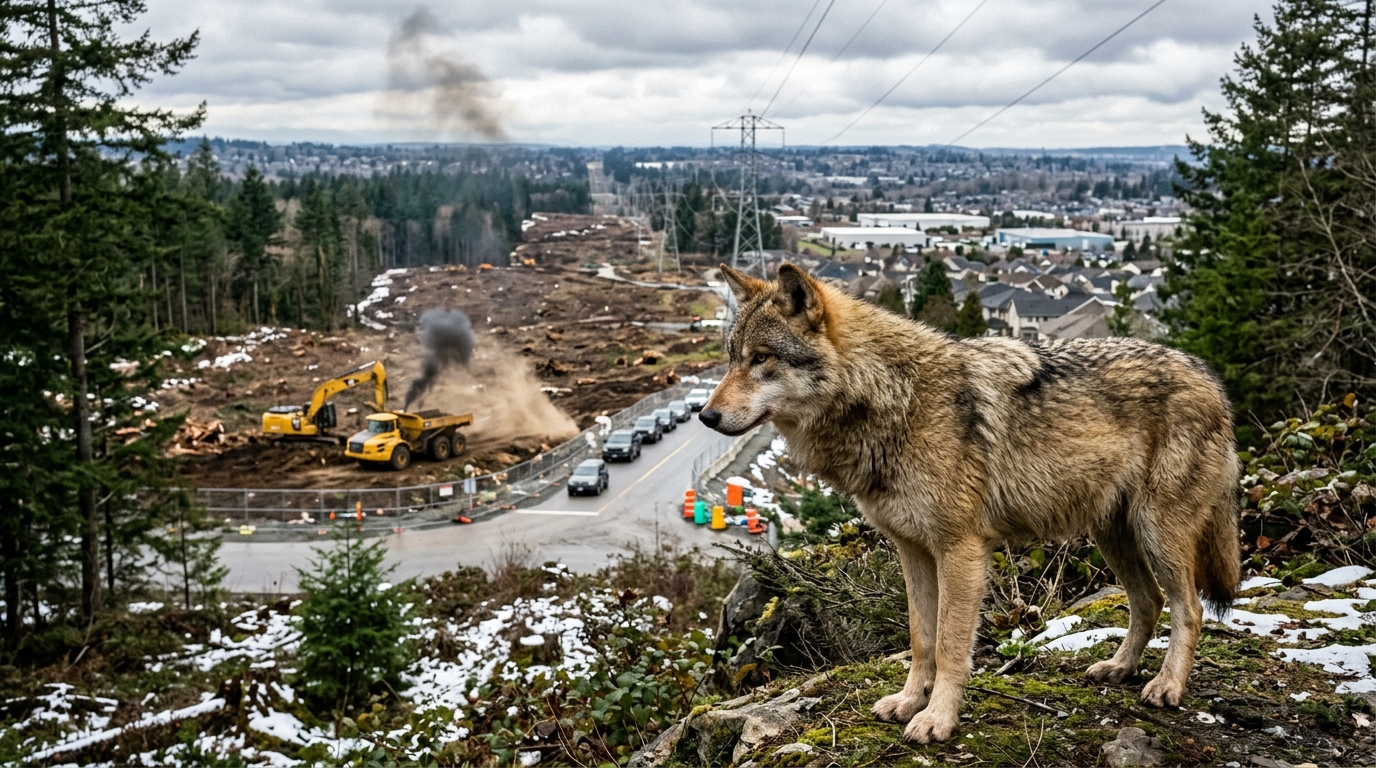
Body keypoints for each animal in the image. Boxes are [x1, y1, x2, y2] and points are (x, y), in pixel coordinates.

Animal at [699, 263, 1241, 744]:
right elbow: (921, 638)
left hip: (1157, 532)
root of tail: (1211, 380)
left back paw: (1166, 686)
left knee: (1189, 608)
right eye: (731, 358)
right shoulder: (912, 550)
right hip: (1112, 534)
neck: (894, 398)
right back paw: (1119, 668)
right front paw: (908, 702)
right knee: (1148, 601)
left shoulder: (960, 551)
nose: (705, 416)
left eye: (762, 358)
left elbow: (950, 644)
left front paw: (937, 720)